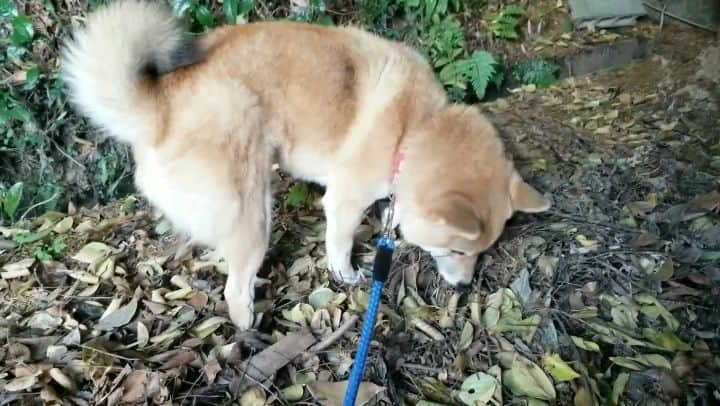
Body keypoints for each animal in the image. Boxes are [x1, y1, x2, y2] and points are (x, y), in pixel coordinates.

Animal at [62, 0, 548, 330]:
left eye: (482, 251)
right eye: (460, 251)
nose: (465, 287)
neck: (413, 129)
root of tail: (159, 107)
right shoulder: (344, 200)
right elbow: (340, 241)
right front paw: (346, 273)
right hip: (254, 210)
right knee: (234, 289)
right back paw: (250, 329)